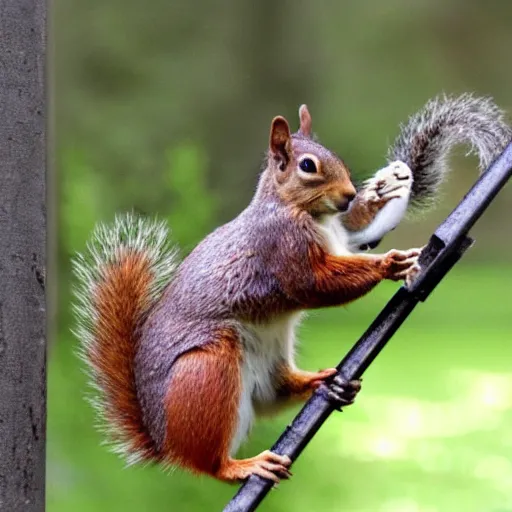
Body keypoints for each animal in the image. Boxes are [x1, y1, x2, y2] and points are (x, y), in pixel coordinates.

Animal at [74, 93, 510, 484]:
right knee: (207, 465)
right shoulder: (282, 249)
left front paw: (387, 189)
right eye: (307, 166)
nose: (349, 194)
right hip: (207, 371)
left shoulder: (344, 235)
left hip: (268, 361)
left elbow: (358, 233)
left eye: (335, 156)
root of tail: (164, 443)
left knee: (275, 393)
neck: (304, 212)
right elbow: (315, 284)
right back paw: (240, 465)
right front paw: (388, 264)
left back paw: (323, 383)